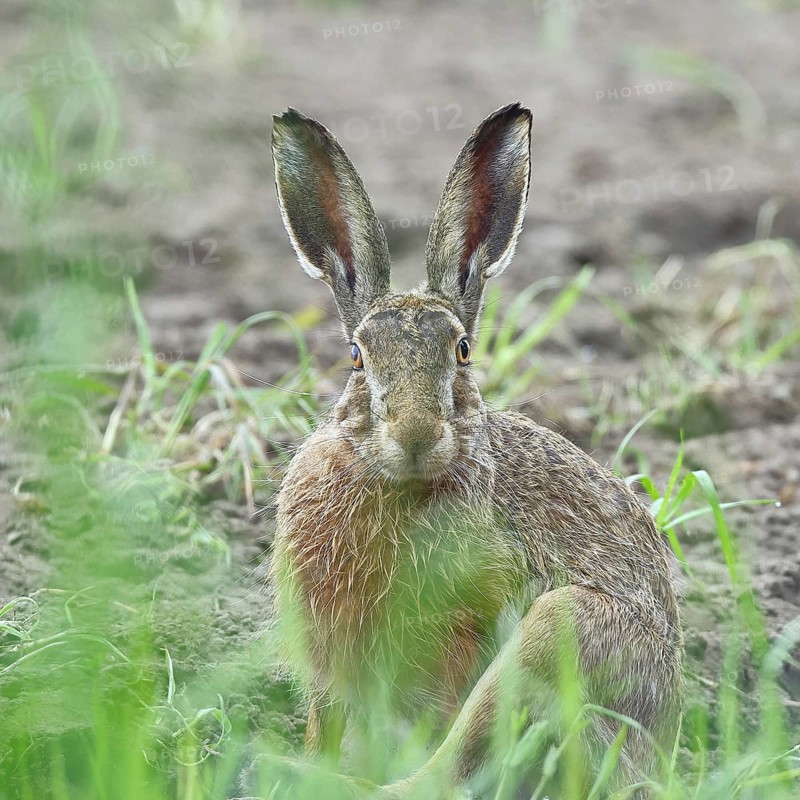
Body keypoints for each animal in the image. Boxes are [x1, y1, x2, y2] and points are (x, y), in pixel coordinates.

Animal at [268, 102, 682, 798]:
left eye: (461, 351)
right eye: (356, 358)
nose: (415, 435)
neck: (402, 483)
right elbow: (324, 720)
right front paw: (312, 757)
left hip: (558, 630)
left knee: (454, 764)